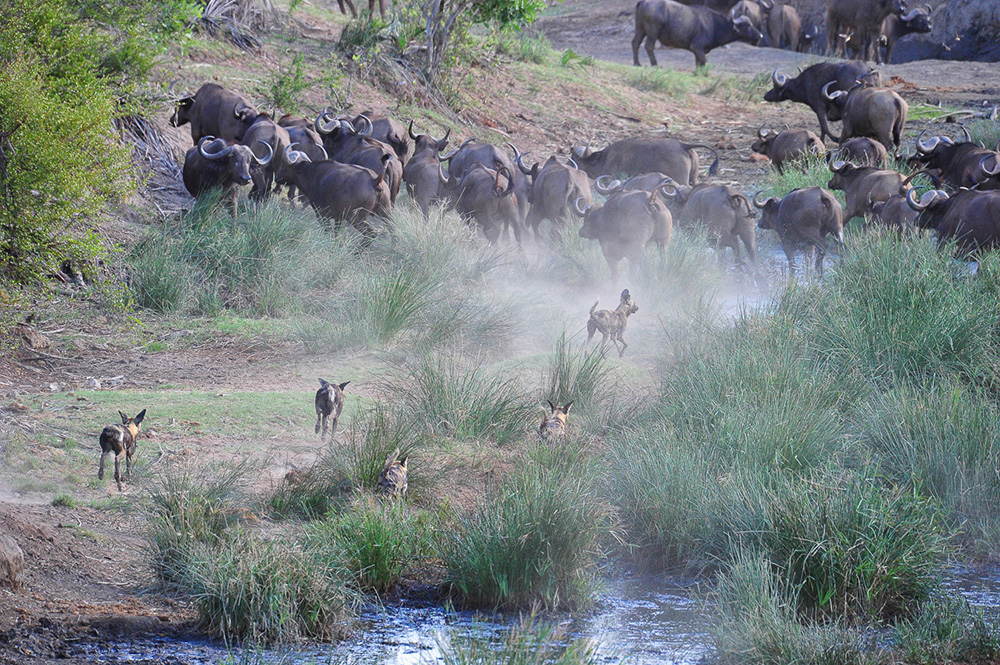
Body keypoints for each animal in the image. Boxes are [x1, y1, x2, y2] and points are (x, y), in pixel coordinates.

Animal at [632, 0, 762, 70]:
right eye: (747, 25)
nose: (760, 36)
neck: (714, 25)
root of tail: (644, 1)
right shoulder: (697, 47)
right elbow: (704, 62)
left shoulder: (697, 51)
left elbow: (698, 64)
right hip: (652, 31)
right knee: (648, 46)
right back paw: (655, 65)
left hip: (640, 28)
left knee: (635, 43)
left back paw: (637, 63)